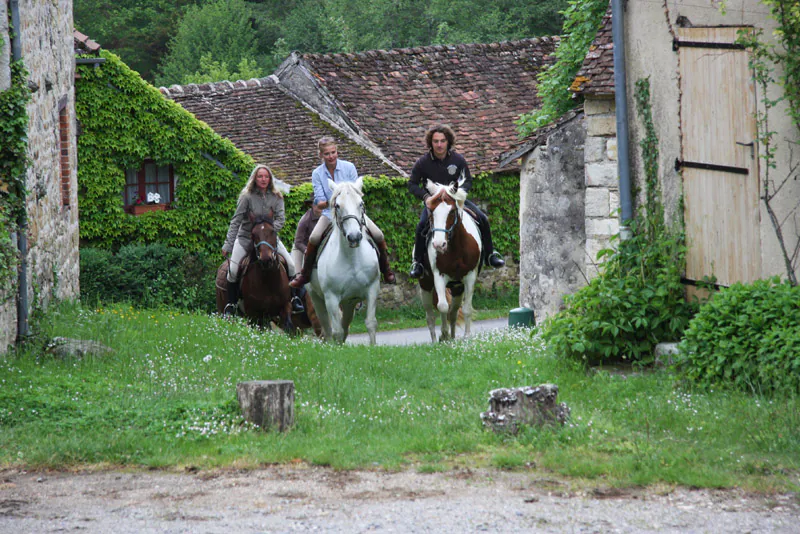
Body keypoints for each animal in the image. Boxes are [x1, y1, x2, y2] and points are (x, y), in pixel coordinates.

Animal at [308, 178, 380, 346]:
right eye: (337, 206)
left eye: (361, 203)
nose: (354, 237)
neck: (352, 259)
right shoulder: (331, 297)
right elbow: (337, 332)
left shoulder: (372, 289)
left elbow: (370, 323)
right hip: (316, 297)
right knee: (328, 329)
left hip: (349, 302)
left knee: (345, 324)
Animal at [418, 179, 482, 344]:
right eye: (431, 212)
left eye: (452, 211)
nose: (439, 245)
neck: (455, 248)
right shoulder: (439, 276)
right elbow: (442, 306)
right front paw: (444, 335)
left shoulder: (470, 277)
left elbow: (466, 309)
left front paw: (466, 337)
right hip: (425, 285)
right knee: (430, 316)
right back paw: (436, 340)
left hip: (457, 287)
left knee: (453, 312)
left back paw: (453, 337)